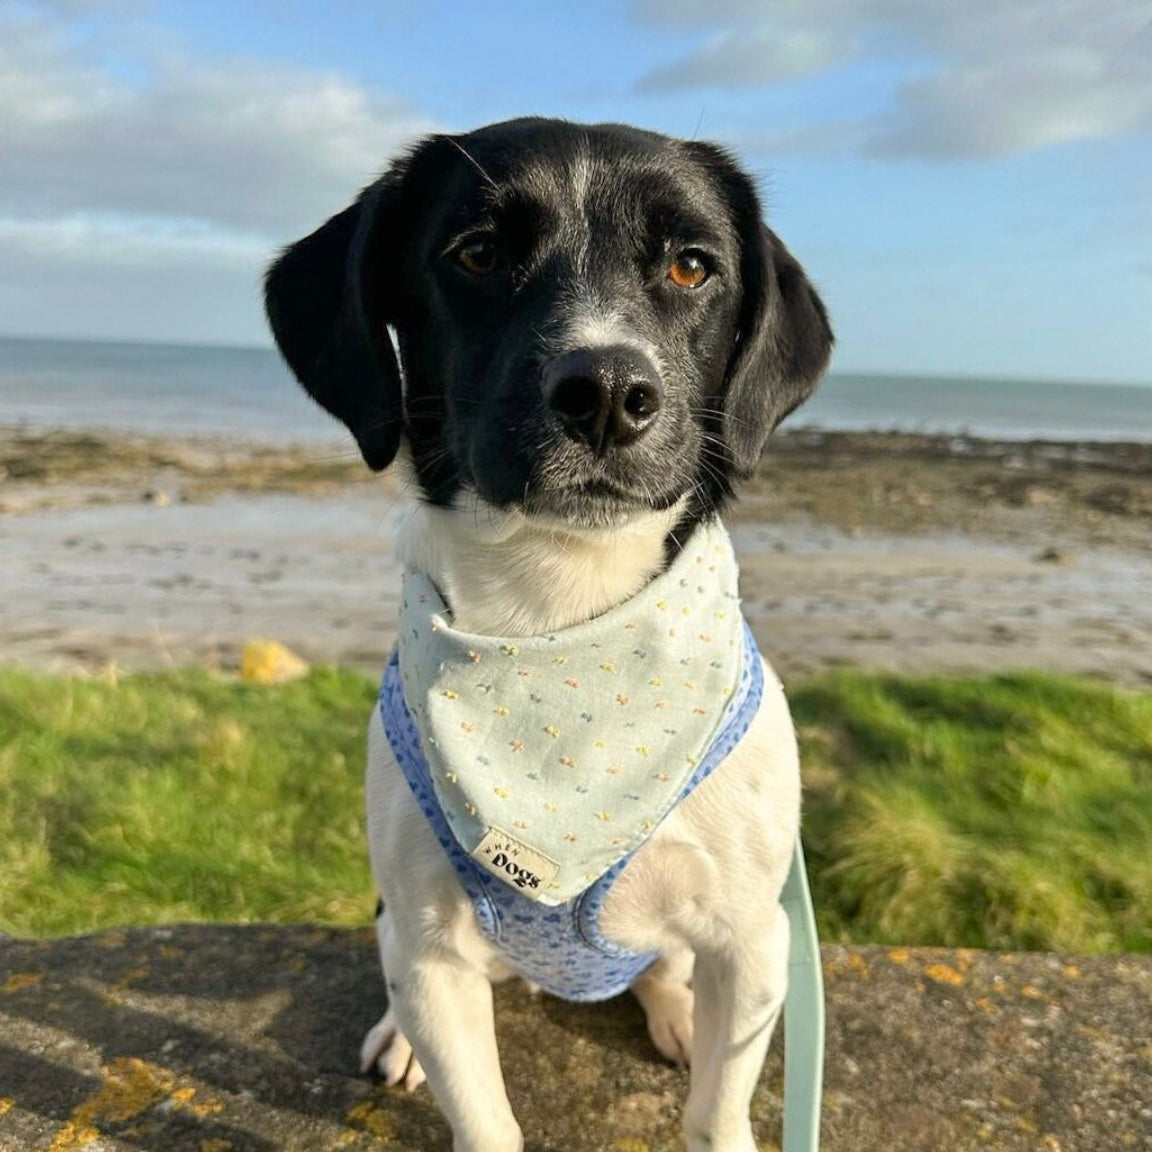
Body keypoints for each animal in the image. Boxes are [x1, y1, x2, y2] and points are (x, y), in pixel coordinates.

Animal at [264, 119, 834, 1152]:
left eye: (692, 266)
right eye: (478, 253)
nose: (607, 389)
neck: (561, 616)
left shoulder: (755, 940)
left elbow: (717, 1109)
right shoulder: (430, 950)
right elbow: (486, 1119)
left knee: (662, 969)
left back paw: (675, 1011)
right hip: (405, 933)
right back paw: (399, 1039)